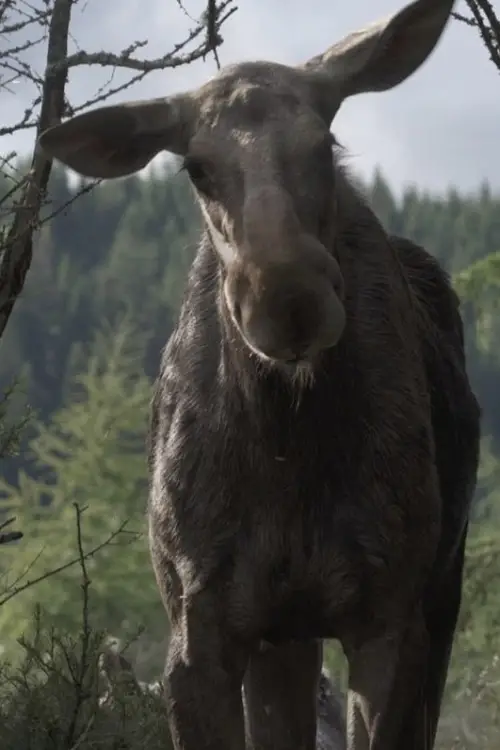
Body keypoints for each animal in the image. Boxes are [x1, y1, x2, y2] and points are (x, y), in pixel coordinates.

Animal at [38, 0, 481, 748]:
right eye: (196, 167)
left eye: (324, 141)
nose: (288, 300)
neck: (287, 447)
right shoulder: (205, 623)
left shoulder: (390, 614)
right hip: (286, 633)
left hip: (438, 587)